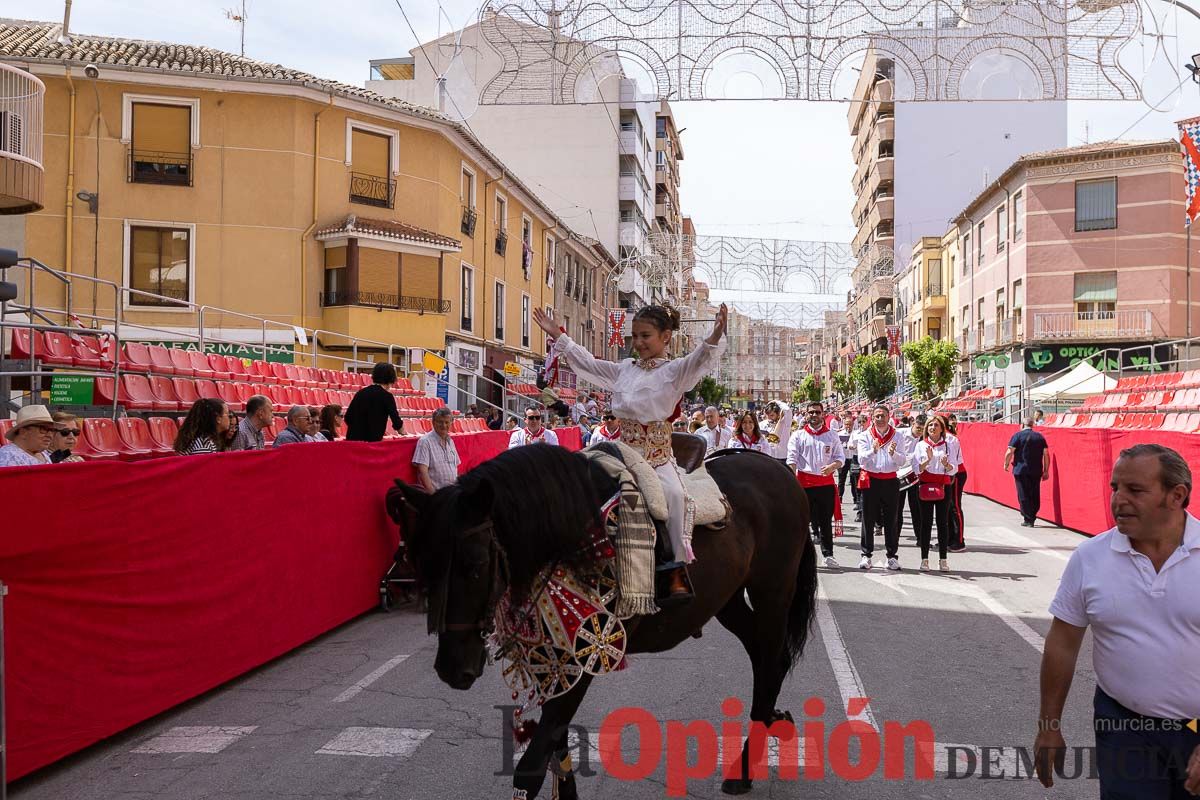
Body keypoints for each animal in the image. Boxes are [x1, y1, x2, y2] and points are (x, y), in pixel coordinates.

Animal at [388, 443, 820, 800]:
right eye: (419, 563)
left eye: (475, 565)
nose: (451, 668)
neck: (571, 537)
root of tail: (779, 469)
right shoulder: (556, 663)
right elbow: (556, 749)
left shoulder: (587, 656)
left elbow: (532, 767)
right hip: (727, 601)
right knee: (768, 658)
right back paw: (772, 722)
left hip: (773, 593)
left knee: (769, 659)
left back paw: (745, 766)